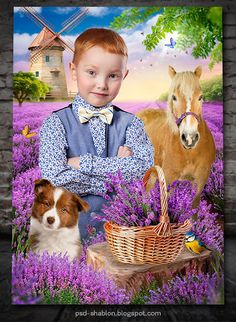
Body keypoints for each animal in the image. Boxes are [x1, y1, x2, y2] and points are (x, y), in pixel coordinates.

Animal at [137, 65, 217, 208]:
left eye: (201, 97)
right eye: (174, 97)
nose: (190, 138)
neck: (190, 153)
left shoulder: (200, 180)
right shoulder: (168, 178)